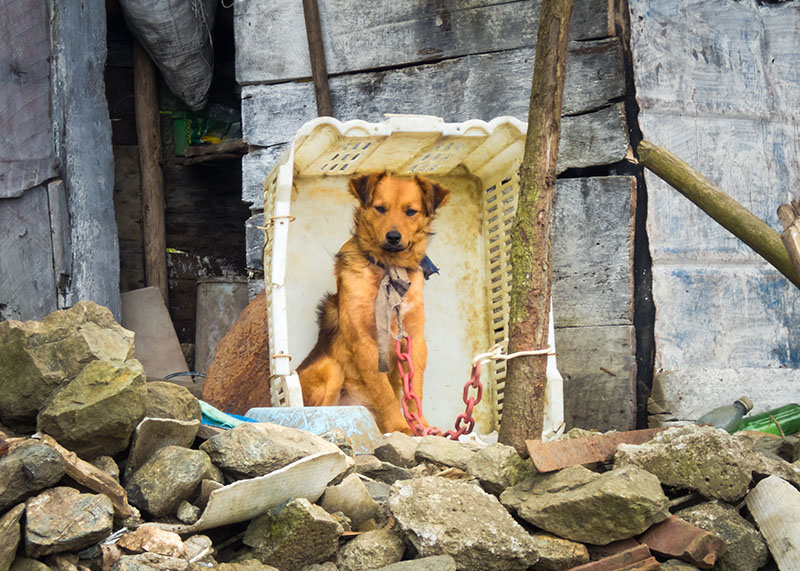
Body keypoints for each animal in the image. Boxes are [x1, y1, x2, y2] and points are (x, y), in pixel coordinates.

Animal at [298, 170, 450, 434]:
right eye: (380, 208)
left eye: (411, 211)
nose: (393, 237)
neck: (389, 269)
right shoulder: (364, 342)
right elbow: (383, 390)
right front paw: (400, 427)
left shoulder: (414, 340)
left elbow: (415, 392)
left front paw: (421, 426)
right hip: (330, 368)